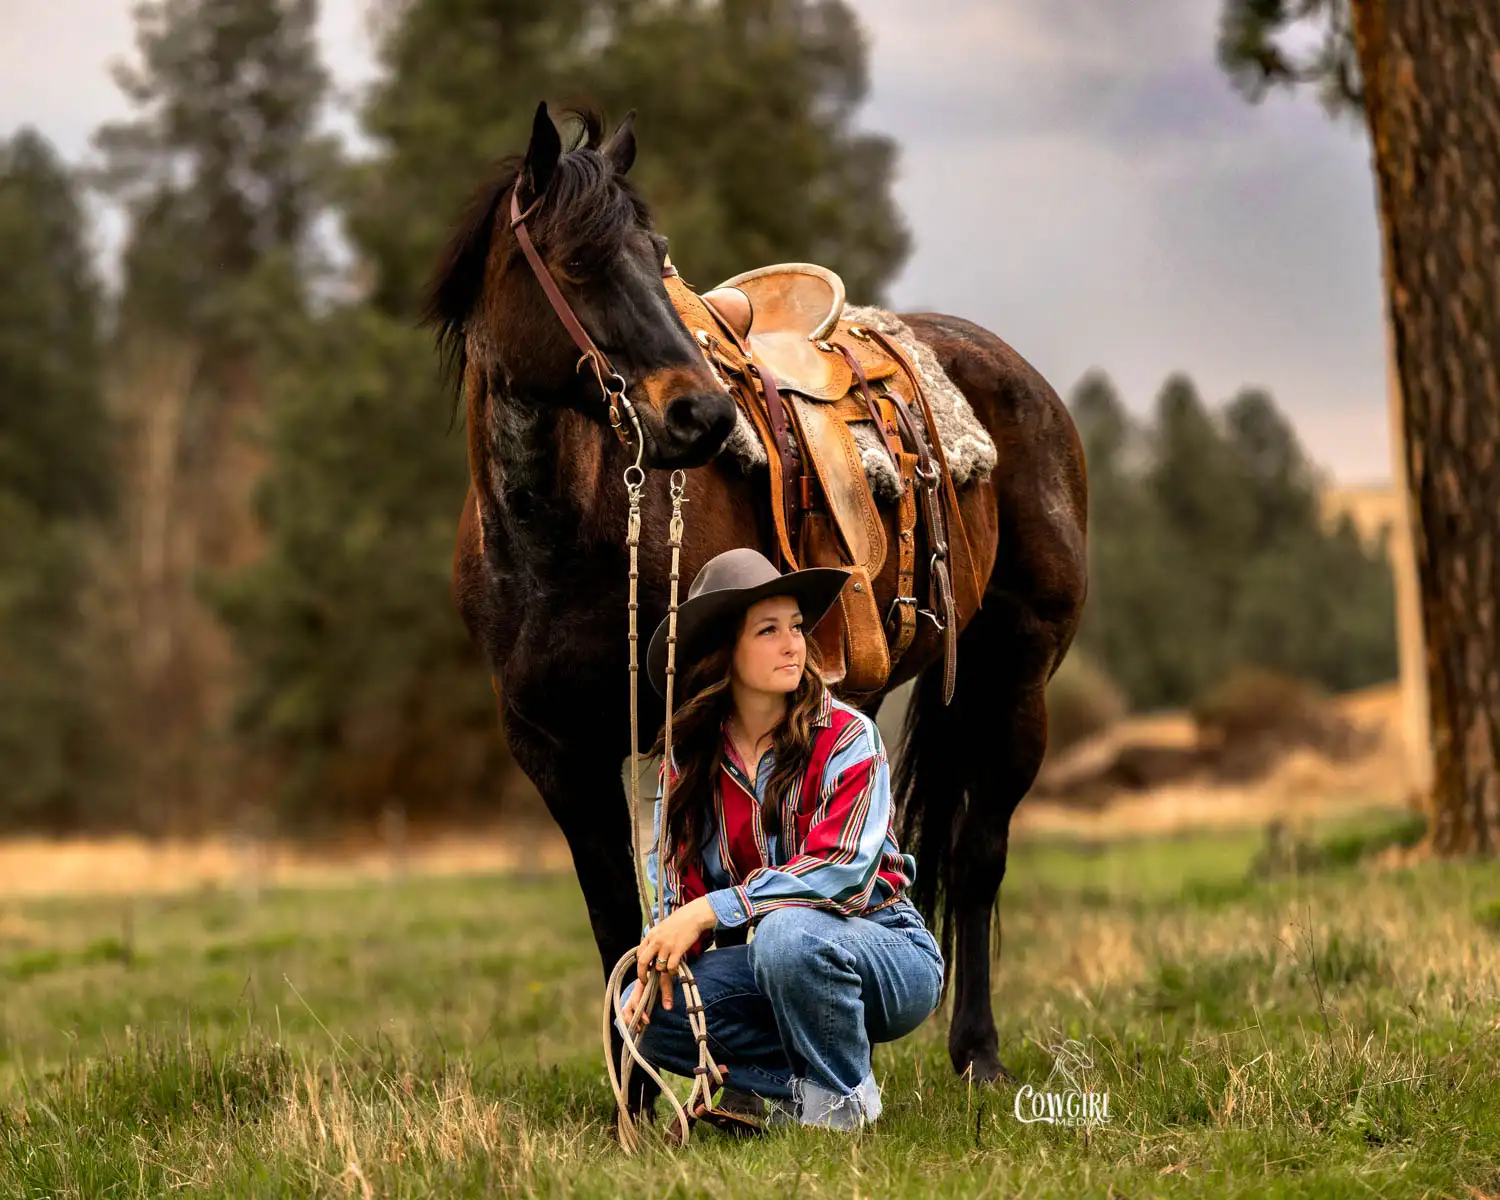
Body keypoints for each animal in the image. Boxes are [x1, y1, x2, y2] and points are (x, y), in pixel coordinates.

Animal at [424, 103, 1088, 1095]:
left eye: (655, 253)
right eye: (578, 263)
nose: (701, 415)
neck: (555, 537)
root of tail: (1018, 377)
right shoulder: (557, 754)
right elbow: (618, 920)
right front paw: (641, 1096)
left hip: (1017, 678)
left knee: (976, 861)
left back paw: (976, 1054)